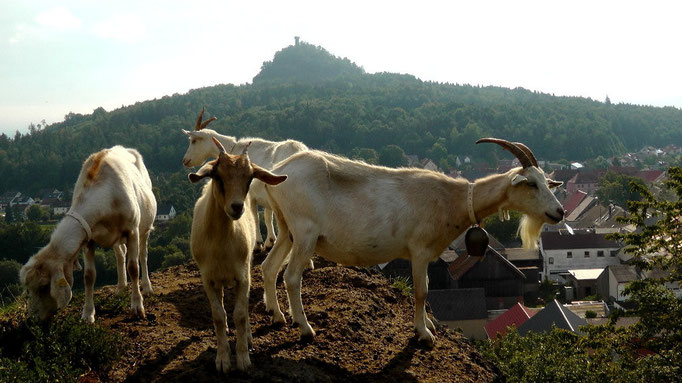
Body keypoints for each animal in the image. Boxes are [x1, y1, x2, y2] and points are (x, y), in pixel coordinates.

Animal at [18, 147, 158, 324]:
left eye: (44, 286)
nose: (33, 318)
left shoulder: (132, 230)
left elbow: (133, 267)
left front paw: (137, 307)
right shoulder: (88, 239)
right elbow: (89, 276)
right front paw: (87, 314)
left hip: (144, 228)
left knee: (143, 255)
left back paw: (147, 287)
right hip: (116, 239)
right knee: (120, 255)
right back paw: (120, 287)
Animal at [182, 109, 306, 252]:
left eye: (193, 141)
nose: (185, 160)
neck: (233, 151)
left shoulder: (251, 195)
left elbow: (255, 218)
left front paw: (258, 244)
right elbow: (267, 216)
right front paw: (270, 242)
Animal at [189, 138, 286, 372]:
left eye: (250, 177)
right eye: (217, 176)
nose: (236, 207)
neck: (221, 243)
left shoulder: (243, 277)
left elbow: (240, 314)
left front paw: (242, 358)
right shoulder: (208, 279)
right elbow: (218, 316)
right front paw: (223, 359)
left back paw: (248, 337)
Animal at [262, 139, 564, 348]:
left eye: (546, 182)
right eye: (532, 184)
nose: (559, 212)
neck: (452, 198)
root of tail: (278, 171)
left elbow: (427, 291)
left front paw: (427, 324)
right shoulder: (419, 250)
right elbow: (422, 291)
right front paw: (424, 333)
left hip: (287, 229)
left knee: (269, 267)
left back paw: (277, 315)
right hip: (305, 232)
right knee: (291, 277)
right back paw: (305, 328)